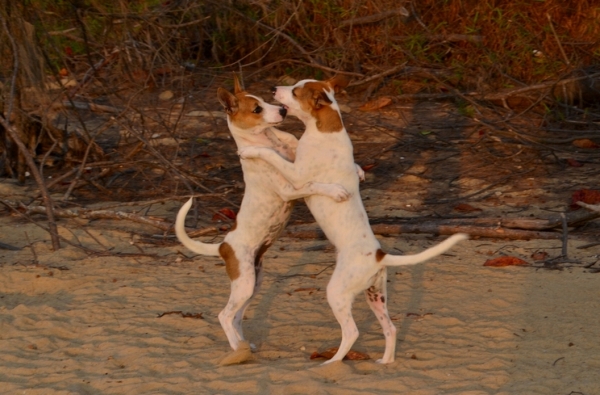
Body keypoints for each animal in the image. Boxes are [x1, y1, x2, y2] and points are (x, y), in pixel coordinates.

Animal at [173, 74, 352, 356]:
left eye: (263, 100)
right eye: (257, 109)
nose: (281, 110)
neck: (269, 142)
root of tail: (223, 246)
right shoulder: (291, 189)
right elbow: (315, 184)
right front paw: (336, 190)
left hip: (252, 284)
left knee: (236, 316)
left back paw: (245, 345)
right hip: (245, 284)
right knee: (224, 315)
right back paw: (237, 349)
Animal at [239, 74, 468, 366]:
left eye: (295, 92)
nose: (273, 89)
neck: (326, 130)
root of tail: (379, 256)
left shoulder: (298, 175)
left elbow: (271, 154)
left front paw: (251, 151)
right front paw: (359, 172)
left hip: (337, 293)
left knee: (352, 332)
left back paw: (331, 363)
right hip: (376, 295)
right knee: (390, 328)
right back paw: (384, 362)